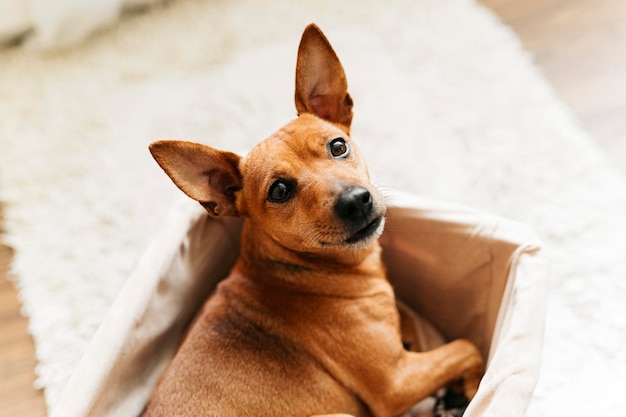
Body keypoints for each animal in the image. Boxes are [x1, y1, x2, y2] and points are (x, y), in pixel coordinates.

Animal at [143, 24, 482, 416]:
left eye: (338, 146)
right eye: (279, 190)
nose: (356, 201)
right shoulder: (396, 382)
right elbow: (467, 345)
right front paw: (471, 385)